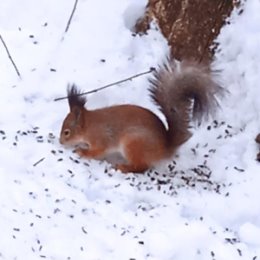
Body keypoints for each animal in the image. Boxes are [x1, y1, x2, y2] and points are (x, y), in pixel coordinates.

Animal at [60, 59, 222, 173]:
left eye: (67, 132)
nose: (60, 142)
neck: (89, 125)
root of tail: (164, 149)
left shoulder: (101, 139)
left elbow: (96, 152)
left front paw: (82, 152)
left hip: (133, 143)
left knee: (141, 166)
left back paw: (123, 167)